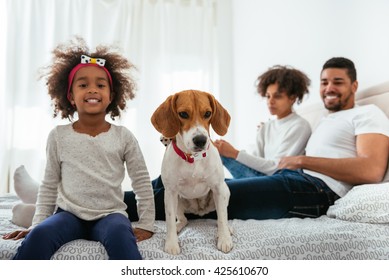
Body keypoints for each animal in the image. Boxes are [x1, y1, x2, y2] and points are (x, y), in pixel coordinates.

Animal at [151, 89, 230, 256]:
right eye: (183, 114)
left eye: (207, 113)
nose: (200, 140)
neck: (193, 158)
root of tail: (199, 211)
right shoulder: (170, 192)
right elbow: (169, 221)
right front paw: (171, 243)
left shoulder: (218, 189)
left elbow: (222, 218)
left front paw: (225, 239)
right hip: (177, 200)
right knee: (183, 220)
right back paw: (178, 226)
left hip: (225, 192)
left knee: (222, 216)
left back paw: (226, 230)